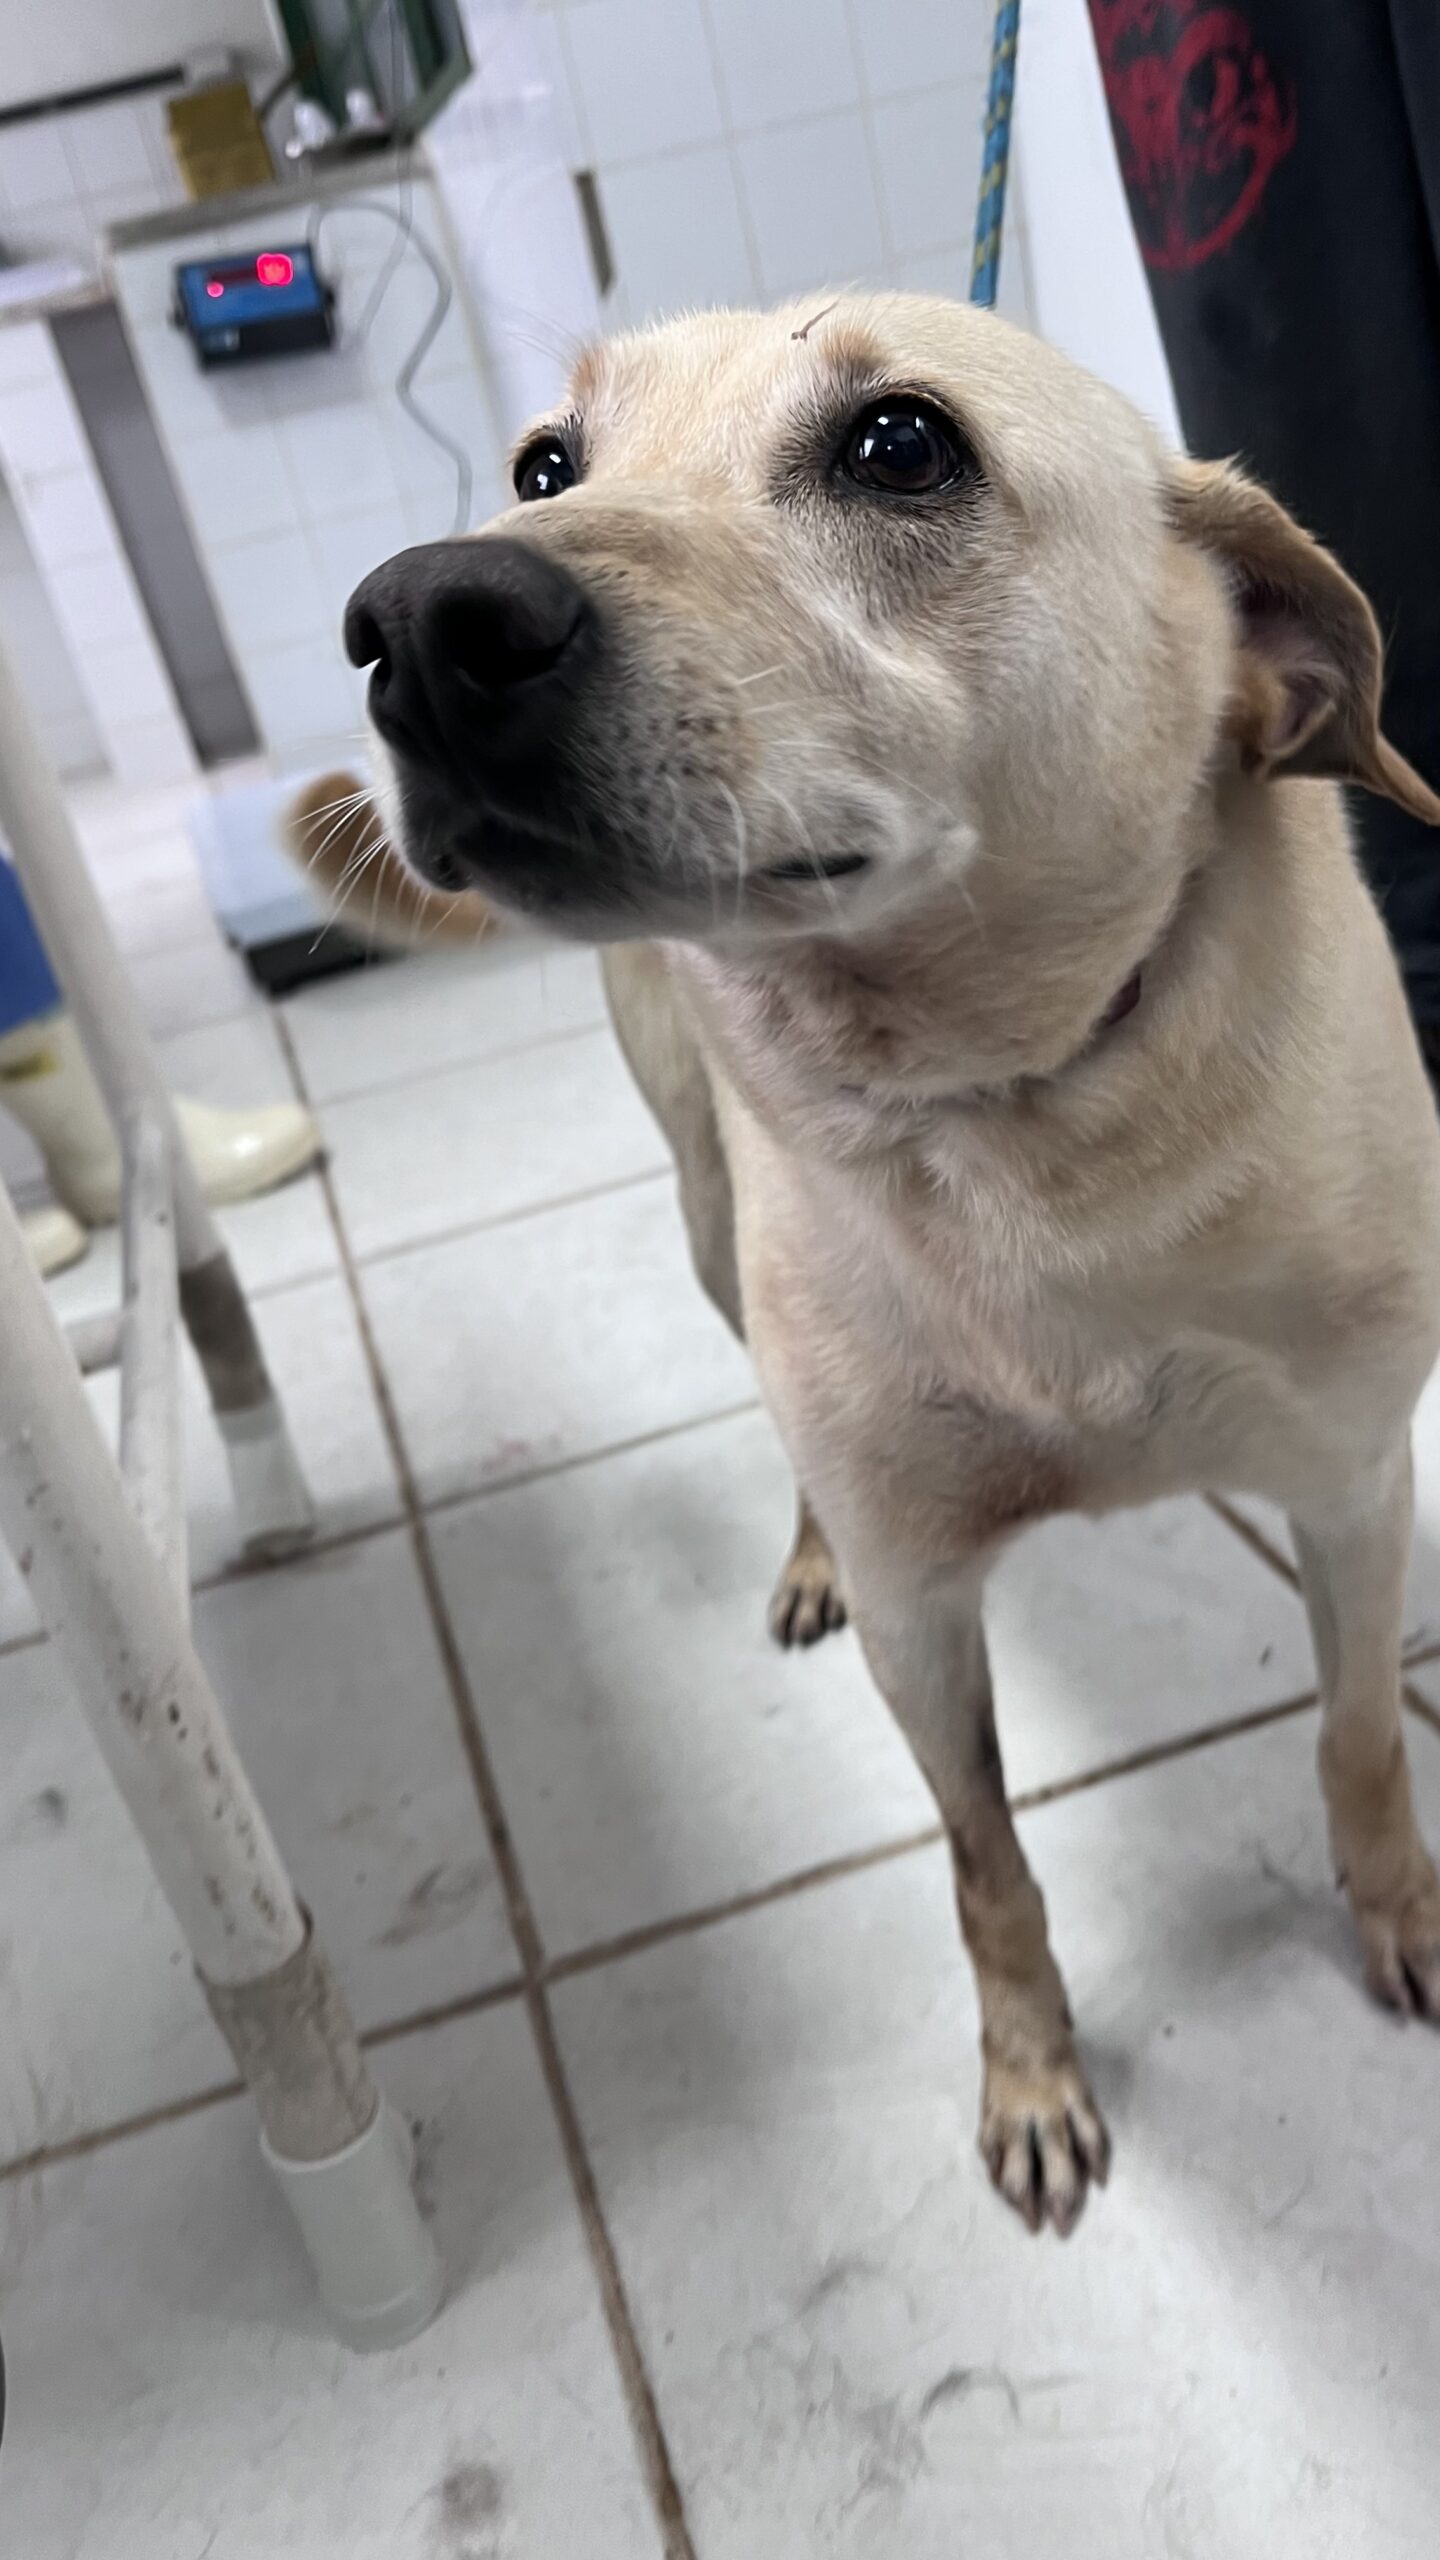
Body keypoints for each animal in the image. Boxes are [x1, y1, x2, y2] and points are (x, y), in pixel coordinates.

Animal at [330, 291, 1440, 2236]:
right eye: (548, 464)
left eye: (900, 444)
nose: (418, 623)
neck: (1018, 1116)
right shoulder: (925, 1607)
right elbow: (984, 1861)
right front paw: (1034, 2074)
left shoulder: (1355, 1481)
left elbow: (1362, 1733)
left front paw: (1400, 1911)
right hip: (710, 1220)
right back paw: (800, 1556)